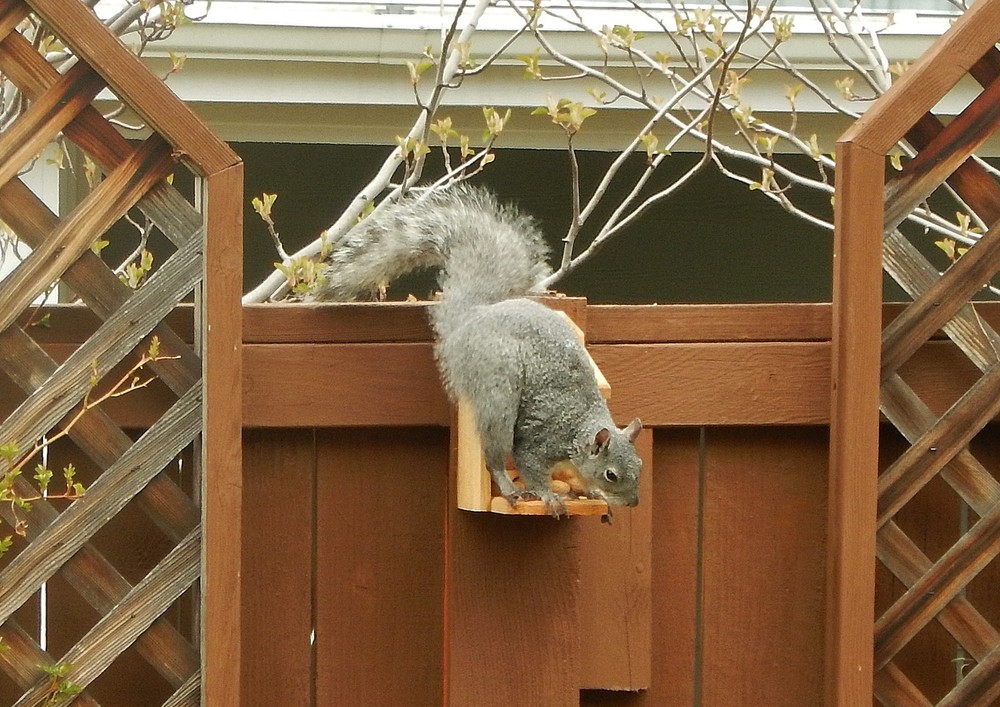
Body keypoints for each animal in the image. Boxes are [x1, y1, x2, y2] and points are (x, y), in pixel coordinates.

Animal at [311, 185, 642, 518]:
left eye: (639, 465)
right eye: (611, 474)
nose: (633, 502)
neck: (579, 427)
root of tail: (471, 318)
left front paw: (594, 497)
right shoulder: (542, 440)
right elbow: (529, 463)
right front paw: (548, 495)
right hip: (496, 393)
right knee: (494, 454)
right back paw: (508, 487)